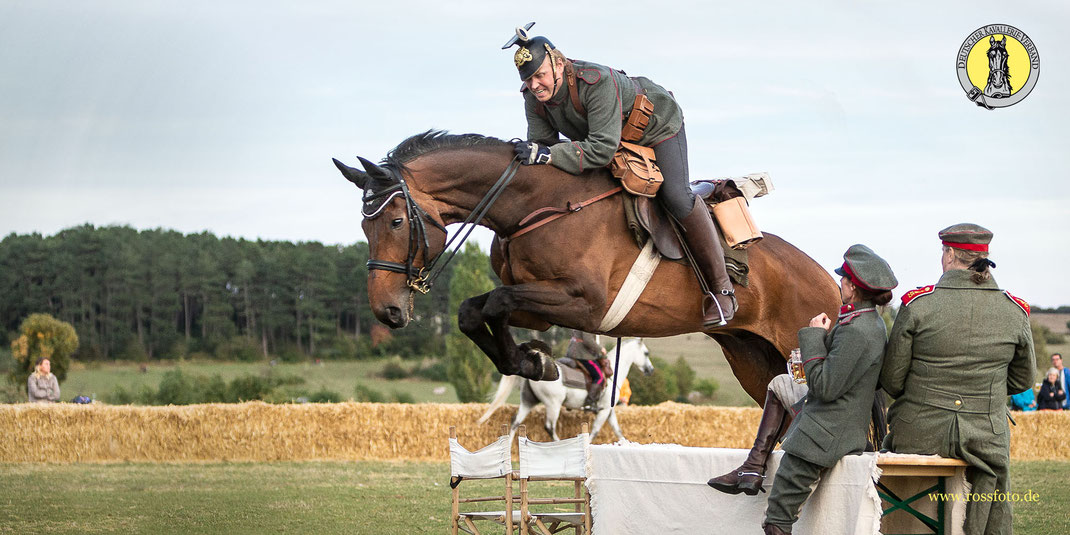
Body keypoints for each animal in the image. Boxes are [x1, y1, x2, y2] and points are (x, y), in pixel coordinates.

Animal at [329, 130, 838, 404]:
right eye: (364, 225)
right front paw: (533, 361)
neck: (536, 206)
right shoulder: (540, 304)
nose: (387, 311)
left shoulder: (584, 303)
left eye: (396, 222)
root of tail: (828, 281)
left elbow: (495, 302)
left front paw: (534, 361)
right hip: (752, 359)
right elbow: (475, 310)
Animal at [477, 338, 650, 442]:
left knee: (515, 422)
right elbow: (595, 431)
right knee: (549, 426)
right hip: (553, 404)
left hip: (528, 401)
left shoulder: (609, 411)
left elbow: (618, 431)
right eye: (646, 353)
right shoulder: (604, 410)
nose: (650, 370)